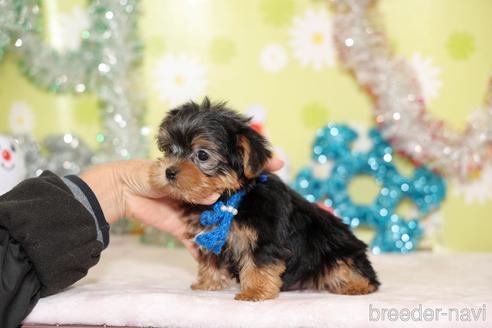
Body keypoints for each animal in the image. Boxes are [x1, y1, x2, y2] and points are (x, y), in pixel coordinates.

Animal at [150, 98, 380, 302]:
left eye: (203, 155)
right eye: (169, 149)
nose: (169, 172)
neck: (229, 198)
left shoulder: (265, 238)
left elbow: (258, 264)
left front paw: (254, 292)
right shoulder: (211, 236)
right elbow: (211, 259)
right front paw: (207, 283)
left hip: (337, 251)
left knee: (356, 273)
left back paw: (356, 286)